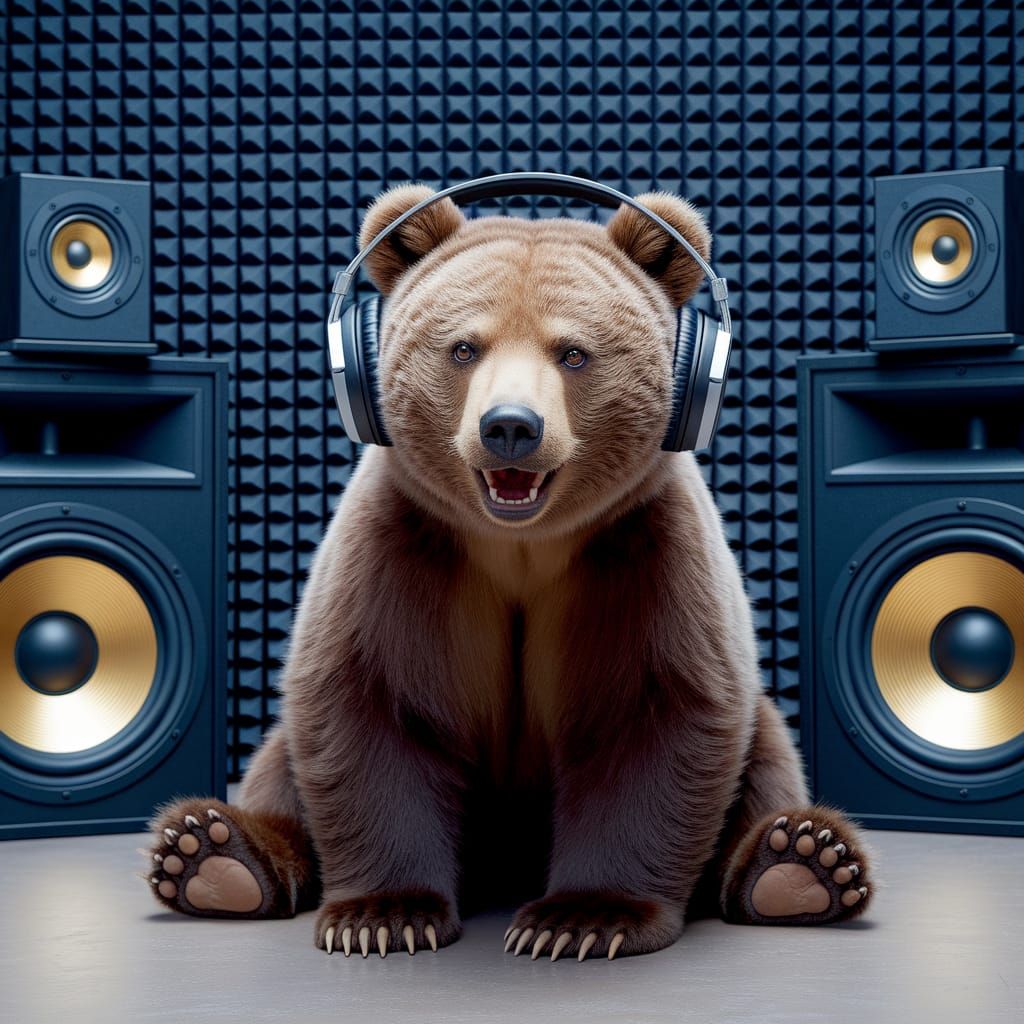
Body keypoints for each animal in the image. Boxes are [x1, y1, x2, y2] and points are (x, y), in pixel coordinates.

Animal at [144, 182, 873, 961]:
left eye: (574, 352)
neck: (520, 543)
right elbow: (371, 706)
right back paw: (213, 856)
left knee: (766, 754)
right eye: (464, 346)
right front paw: (384, 915)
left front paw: (581, 920)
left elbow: (656, 716)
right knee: (277, 761)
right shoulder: (407, 551)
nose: (511, 427)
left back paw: (800, 863)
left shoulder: (640, 557)